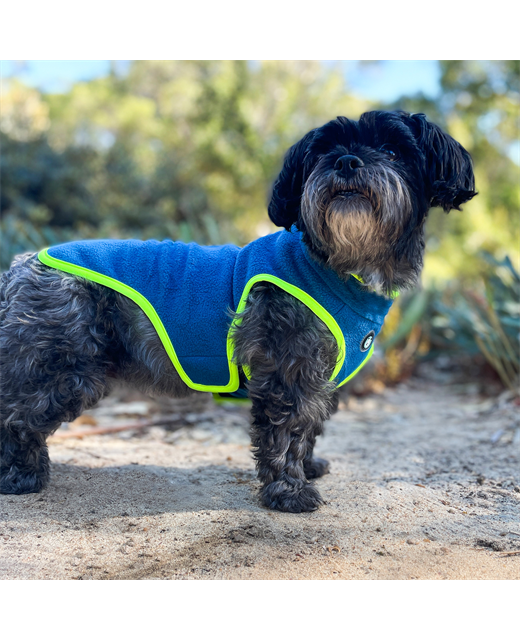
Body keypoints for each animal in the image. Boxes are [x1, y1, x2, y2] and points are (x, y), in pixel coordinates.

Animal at [0, 110, 476, 510]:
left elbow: (311, 426)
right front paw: (289, 491)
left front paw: (308, 469)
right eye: (324, 151)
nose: (346, 162)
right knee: (17, 416)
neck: (336, 264)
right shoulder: (289, 367)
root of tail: (21, 265)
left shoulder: (321, 375)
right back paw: (21, 476)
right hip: (62, 368)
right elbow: (287, 430)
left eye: (393, 151)